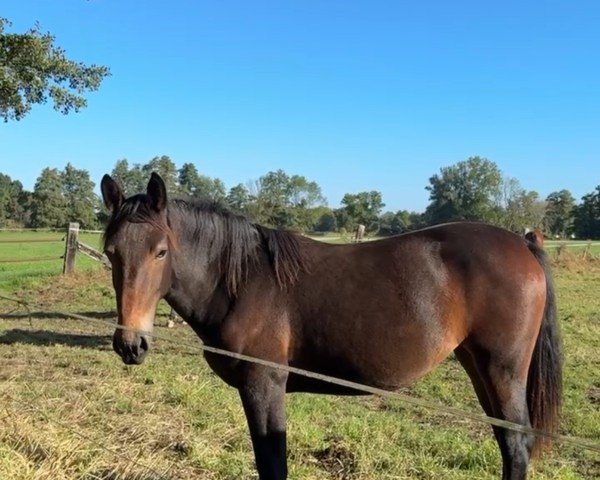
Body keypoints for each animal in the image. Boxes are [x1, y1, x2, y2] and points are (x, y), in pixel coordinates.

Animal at [99, 173, 564, 480]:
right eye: (111, 251)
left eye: (161, 251)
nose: (131, 344)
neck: (244, 281)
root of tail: (523, 243)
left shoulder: (264, 385)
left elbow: (273, 463)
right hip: (478, 366)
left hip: (503, 370)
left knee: (517, 446)